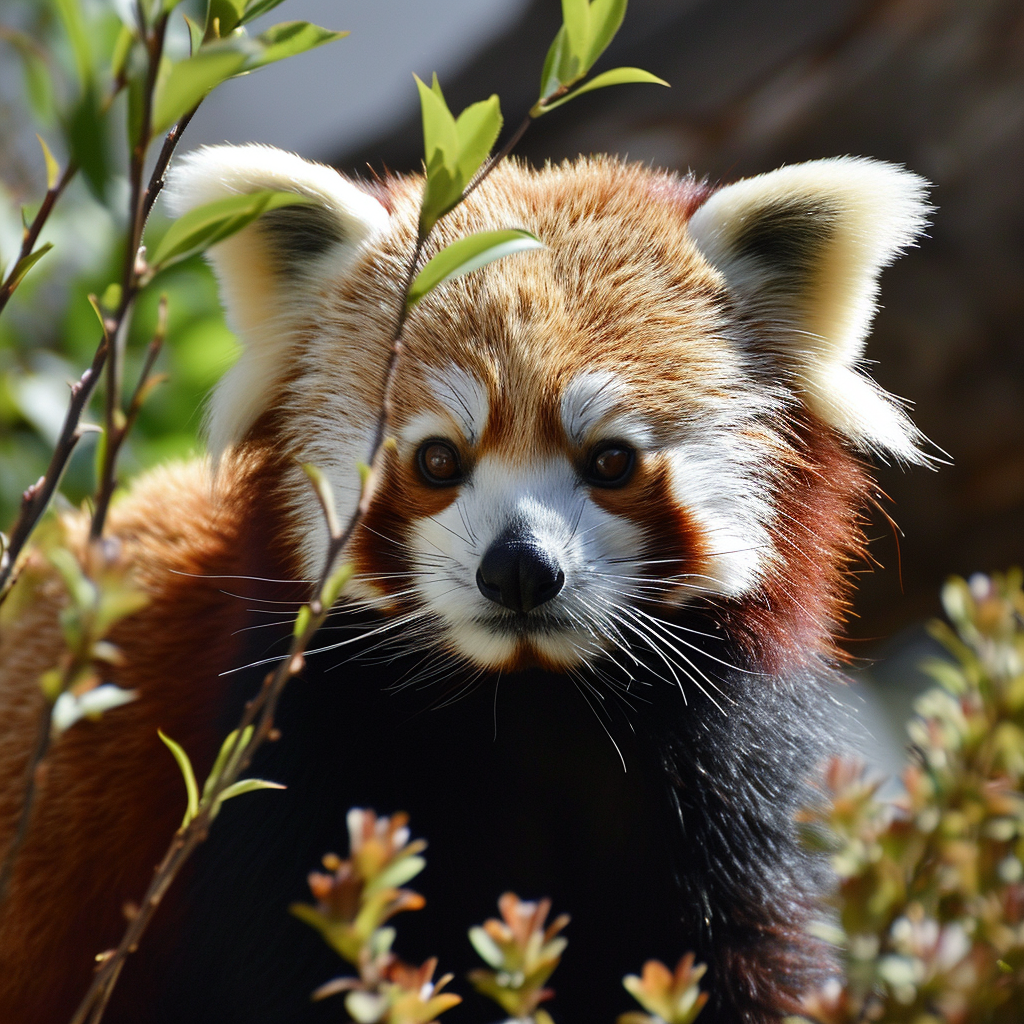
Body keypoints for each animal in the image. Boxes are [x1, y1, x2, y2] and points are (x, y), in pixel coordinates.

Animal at [0, 148, 929, 1024]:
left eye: (611, 460)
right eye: (439, 459)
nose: (518, 567)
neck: (531, 708)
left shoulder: (725, 780)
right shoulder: (278, 786)